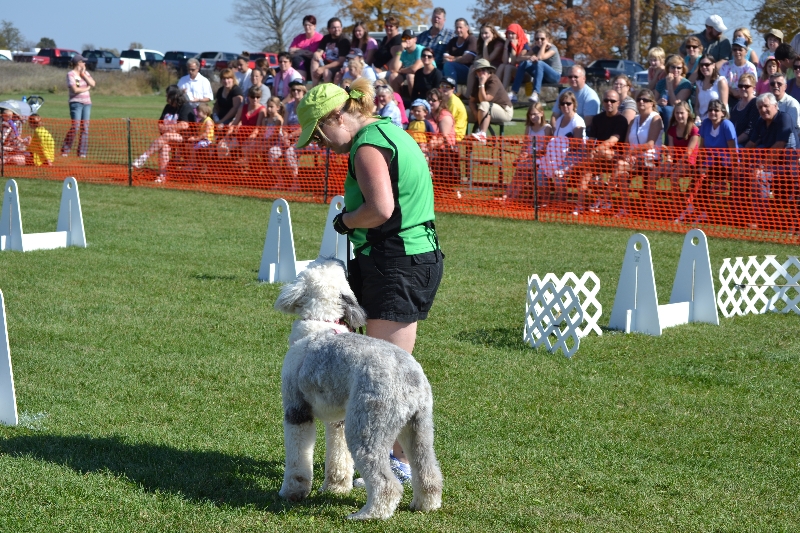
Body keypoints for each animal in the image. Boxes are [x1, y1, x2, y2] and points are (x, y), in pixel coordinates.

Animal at [276, 256, 444, 516]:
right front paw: (336, 488)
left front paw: (291, 492)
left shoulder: (296, 411)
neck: (321, 325)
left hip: (367, 427)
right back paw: (425, 505)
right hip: (419, 427)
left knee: (386, 483)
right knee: (428, 470)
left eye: (311, 264)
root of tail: (410, 379)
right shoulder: (340, 419)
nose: (335, 257)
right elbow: (339, 457)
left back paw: (368, 515)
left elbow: (298, 458)